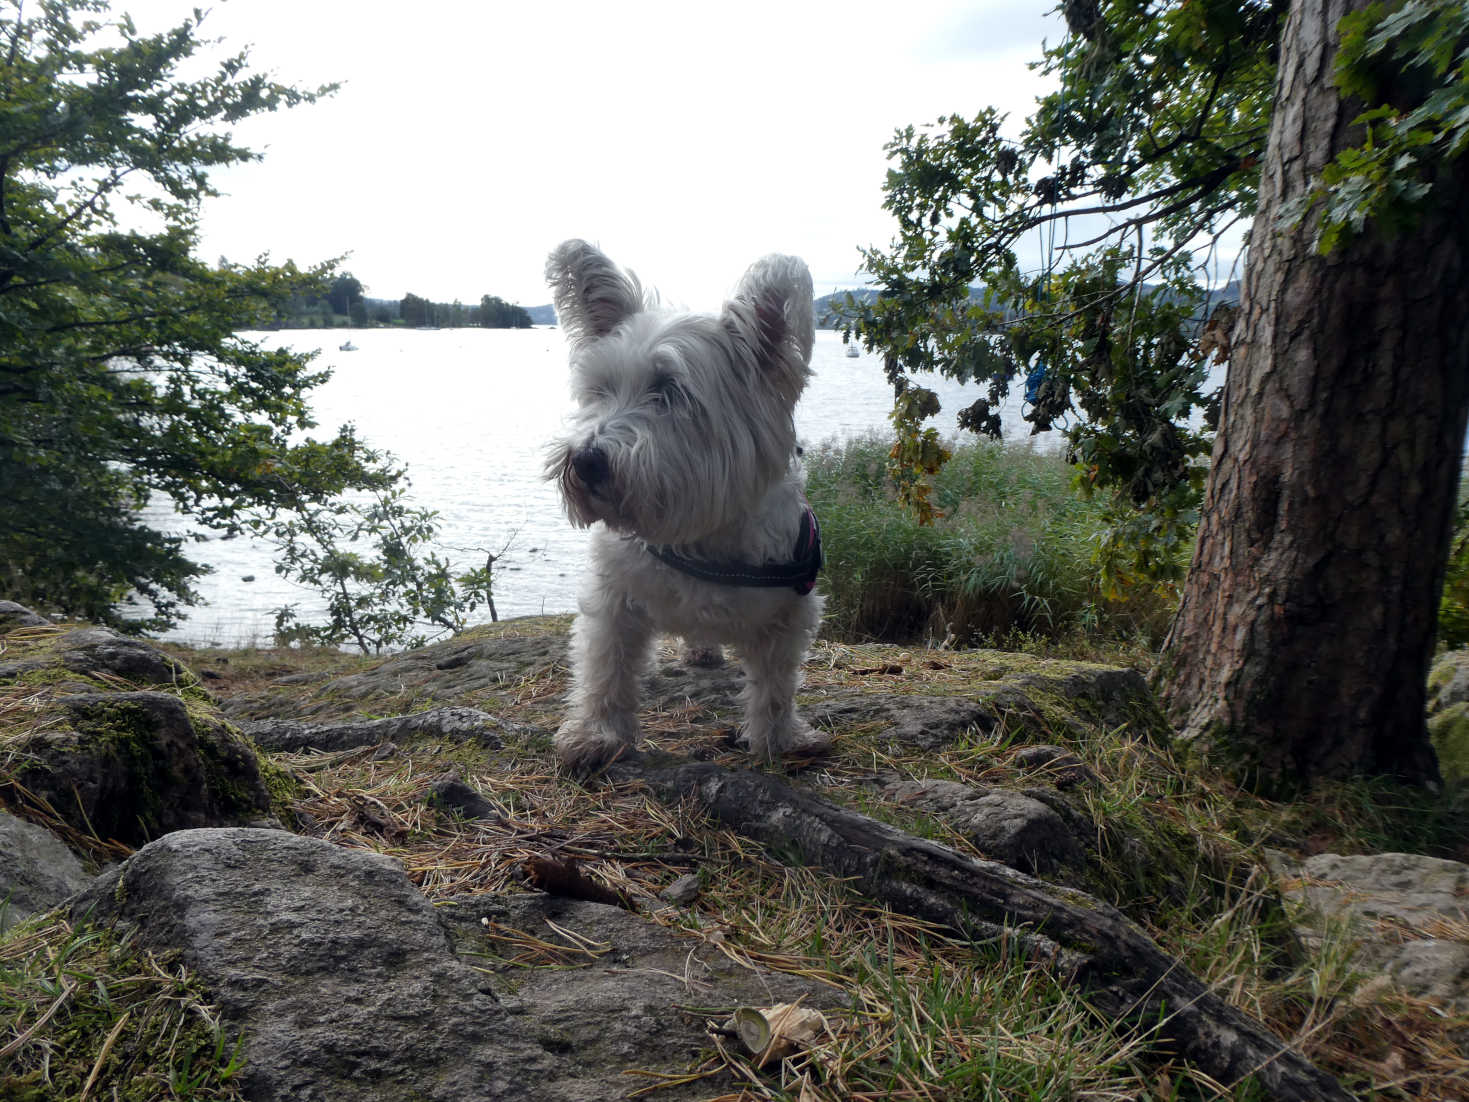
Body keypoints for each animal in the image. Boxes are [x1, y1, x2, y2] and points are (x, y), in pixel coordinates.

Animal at [549, 240, 828, 769]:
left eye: (669, 390)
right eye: (599, 389)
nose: (587, 460)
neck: (699, 534)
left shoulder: (789, 614)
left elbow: (776, 685)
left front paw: (780, 739)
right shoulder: (612, 597)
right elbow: (607, 668)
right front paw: (597, 735)